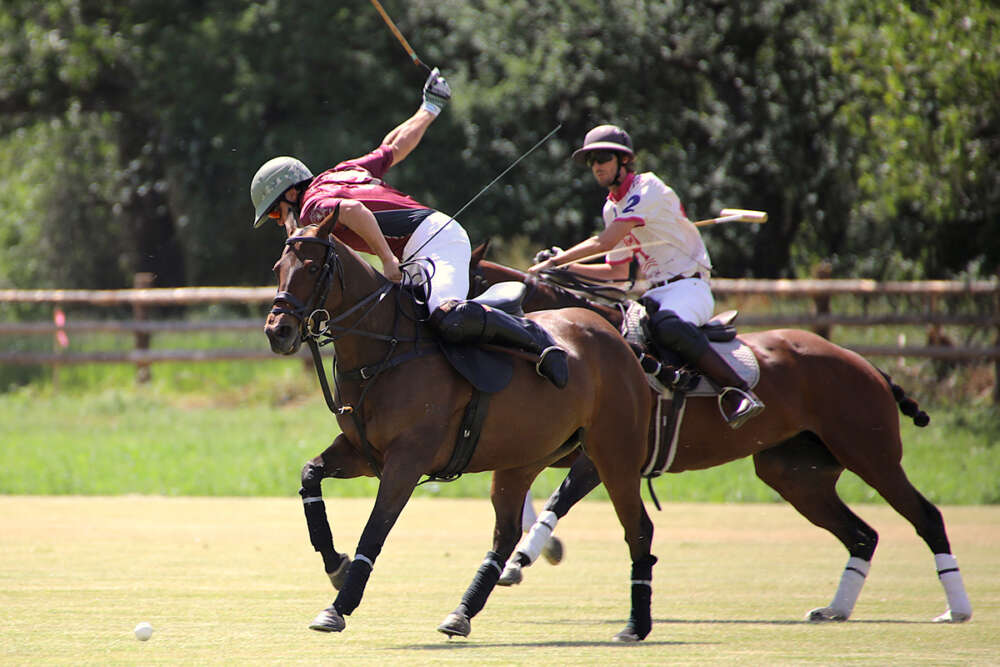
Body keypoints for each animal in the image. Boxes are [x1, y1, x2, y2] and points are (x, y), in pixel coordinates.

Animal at [266, 218, 656, 640]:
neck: (385, 351)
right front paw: (335, 564)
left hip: (614, 453)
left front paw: (338, 607)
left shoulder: (406, 461)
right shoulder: (362, 453)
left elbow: (375, 529)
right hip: (523, 461)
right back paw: (462, 612)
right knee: (506, 534)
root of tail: (619, 338)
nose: (277, 332)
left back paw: (636, 624)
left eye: (311, 268)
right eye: (277, 268)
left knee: (638, 527)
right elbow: (310, 475)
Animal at [472, 249, 972, 628]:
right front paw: (523, 557)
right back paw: (835, 609)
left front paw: (522, 558)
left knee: (926, 516)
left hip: (871, 454)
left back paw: (957, 609)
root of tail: (867, 364)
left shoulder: (603, 455)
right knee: (862, 534)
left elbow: (558, 499)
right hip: (796, 476)